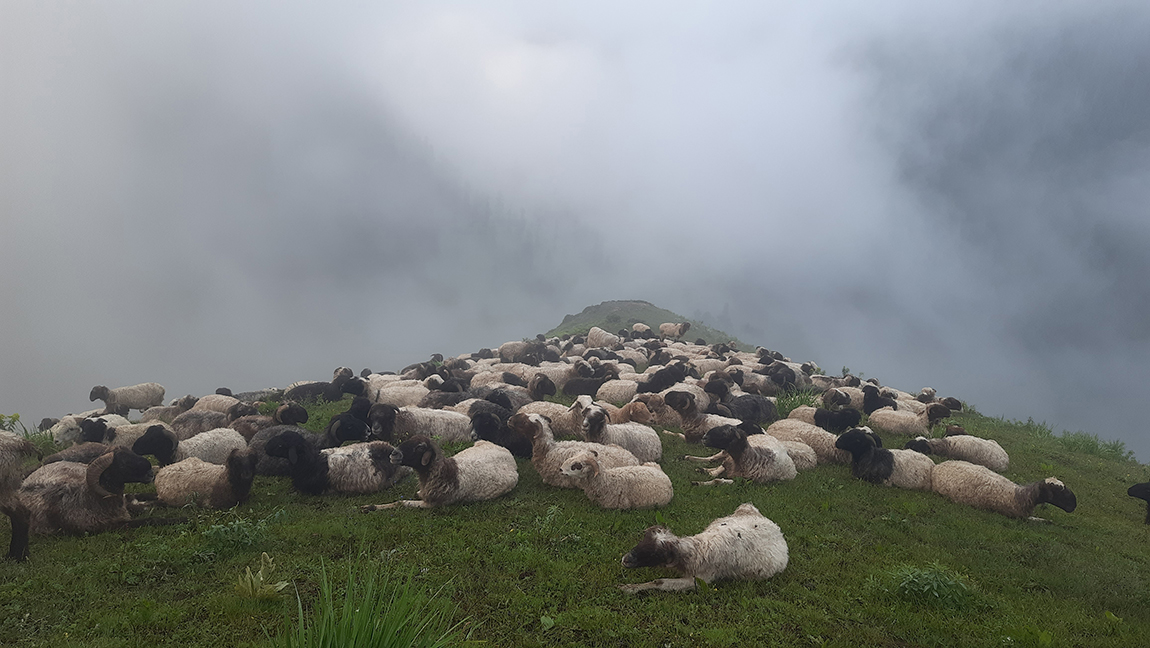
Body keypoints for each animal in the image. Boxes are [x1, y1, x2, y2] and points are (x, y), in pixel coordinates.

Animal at [621, 501, 791, 598]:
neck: (699, 548)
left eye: (656, 554)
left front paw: (630, 588)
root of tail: (775, 527)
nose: (625, 559)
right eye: (643, 540)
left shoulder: (700, 580)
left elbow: (660, 582)